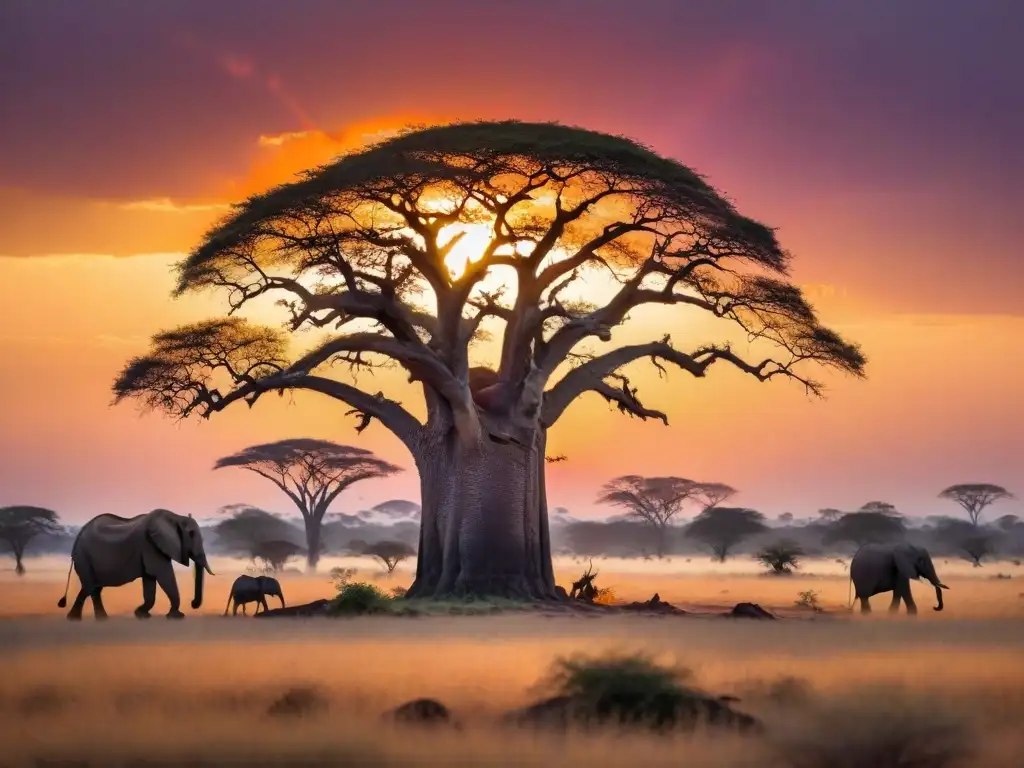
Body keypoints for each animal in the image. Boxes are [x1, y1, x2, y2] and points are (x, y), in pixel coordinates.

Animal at [56, 507, 214, 622]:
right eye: (191, 534)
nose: (192, 603)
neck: (176, 517)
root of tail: (77, 538)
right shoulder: (149, 545)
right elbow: (163, 574)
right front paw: (176, 617)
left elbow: (150, 580)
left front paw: (141, 614)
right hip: (84, 557)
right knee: (89, 586)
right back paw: (75, 620)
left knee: (94, 588)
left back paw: (100, 619)